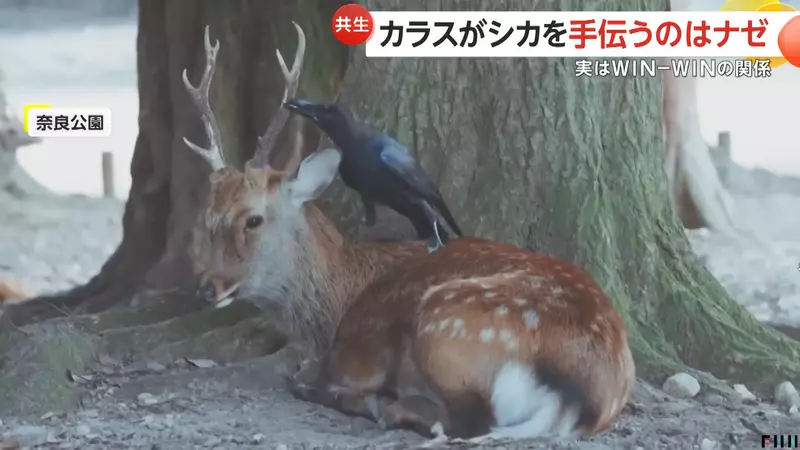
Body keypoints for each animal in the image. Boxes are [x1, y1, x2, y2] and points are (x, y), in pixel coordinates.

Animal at [183, 22, 635, 442]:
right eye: (209, 218)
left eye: (253, 219)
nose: (207, 288)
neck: (339, 300)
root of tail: (575, 394)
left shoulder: (356, 350)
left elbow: (312, 377)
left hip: (447, 325)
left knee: (465, 421)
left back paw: (386, 407)